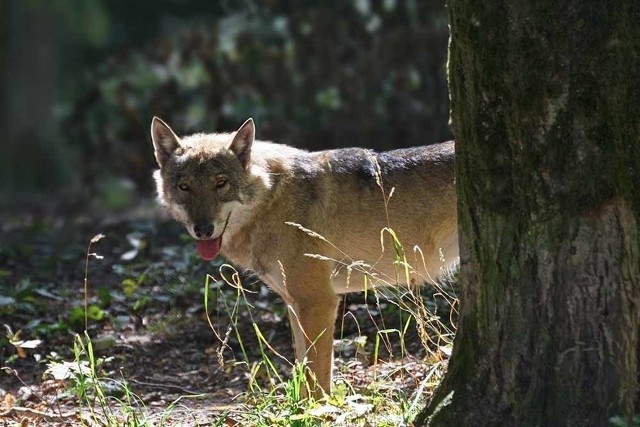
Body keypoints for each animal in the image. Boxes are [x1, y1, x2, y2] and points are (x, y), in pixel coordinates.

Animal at [151, 117, 460, 398]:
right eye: (184, 187)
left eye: (220, 183)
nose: (203, 230)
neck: (272, 199)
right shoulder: (294, 302)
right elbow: (302, 368)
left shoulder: (318, 301)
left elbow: (317, 377)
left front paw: (318, 411)